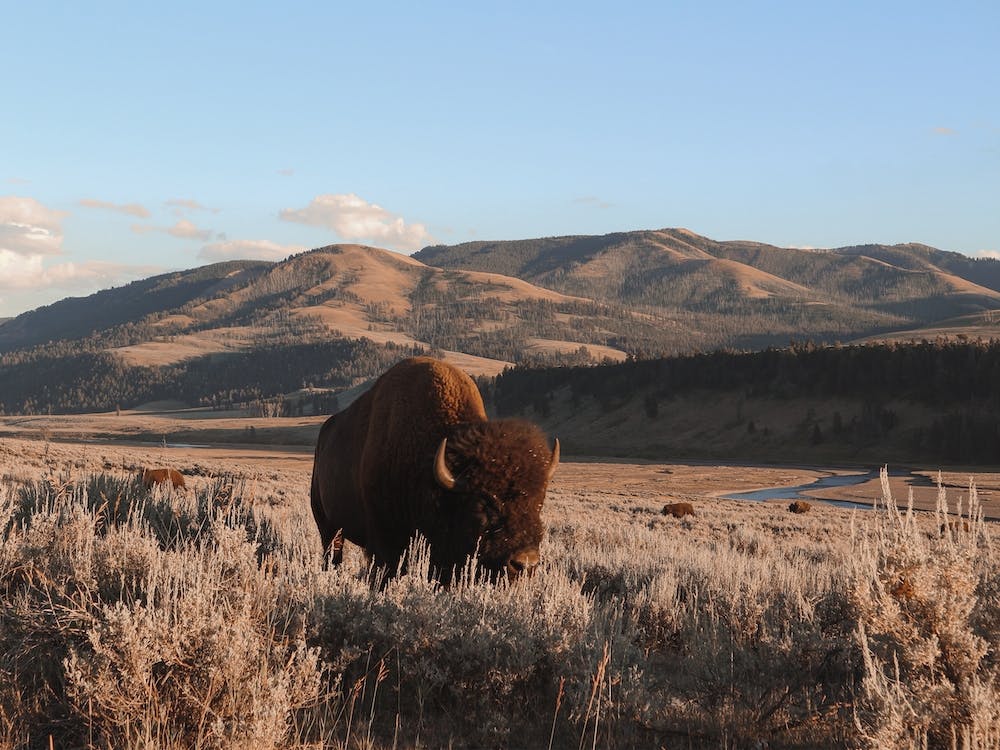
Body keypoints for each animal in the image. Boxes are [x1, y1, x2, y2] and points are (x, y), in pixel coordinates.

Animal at [310, 356, 559, 581]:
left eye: (539, 502)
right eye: (483, 503)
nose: (525, 563)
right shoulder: (384, 542)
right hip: (328, 526)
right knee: (332, 554)